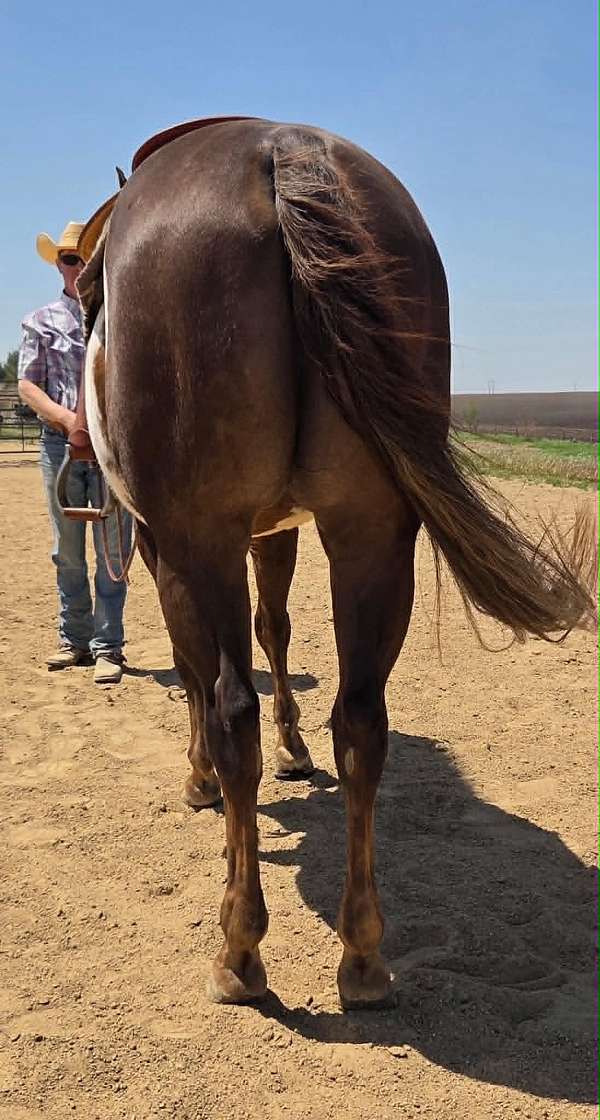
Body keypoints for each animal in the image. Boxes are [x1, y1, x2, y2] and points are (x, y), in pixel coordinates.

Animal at [77, 118, 594, 1009]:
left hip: (205, 539)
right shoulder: (278, 528)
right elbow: (278, 627)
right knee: (361, 720)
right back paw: (363, 955)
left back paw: (239, 950)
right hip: (372, 535)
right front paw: (295, 749)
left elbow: (200, 673)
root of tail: (279, 151)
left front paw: (200, 781)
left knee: (231, 710)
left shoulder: (168, 541)